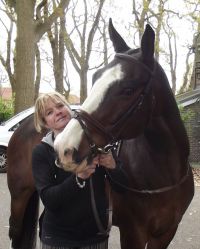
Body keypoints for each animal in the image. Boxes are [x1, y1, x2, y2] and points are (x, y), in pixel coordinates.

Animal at [7, 19, 195, 249]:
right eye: (95, 78)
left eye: (128, 90)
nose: (64, 148)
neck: (165, 177)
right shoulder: (133, 232)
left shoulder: (166, 233)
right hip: (19, 198)